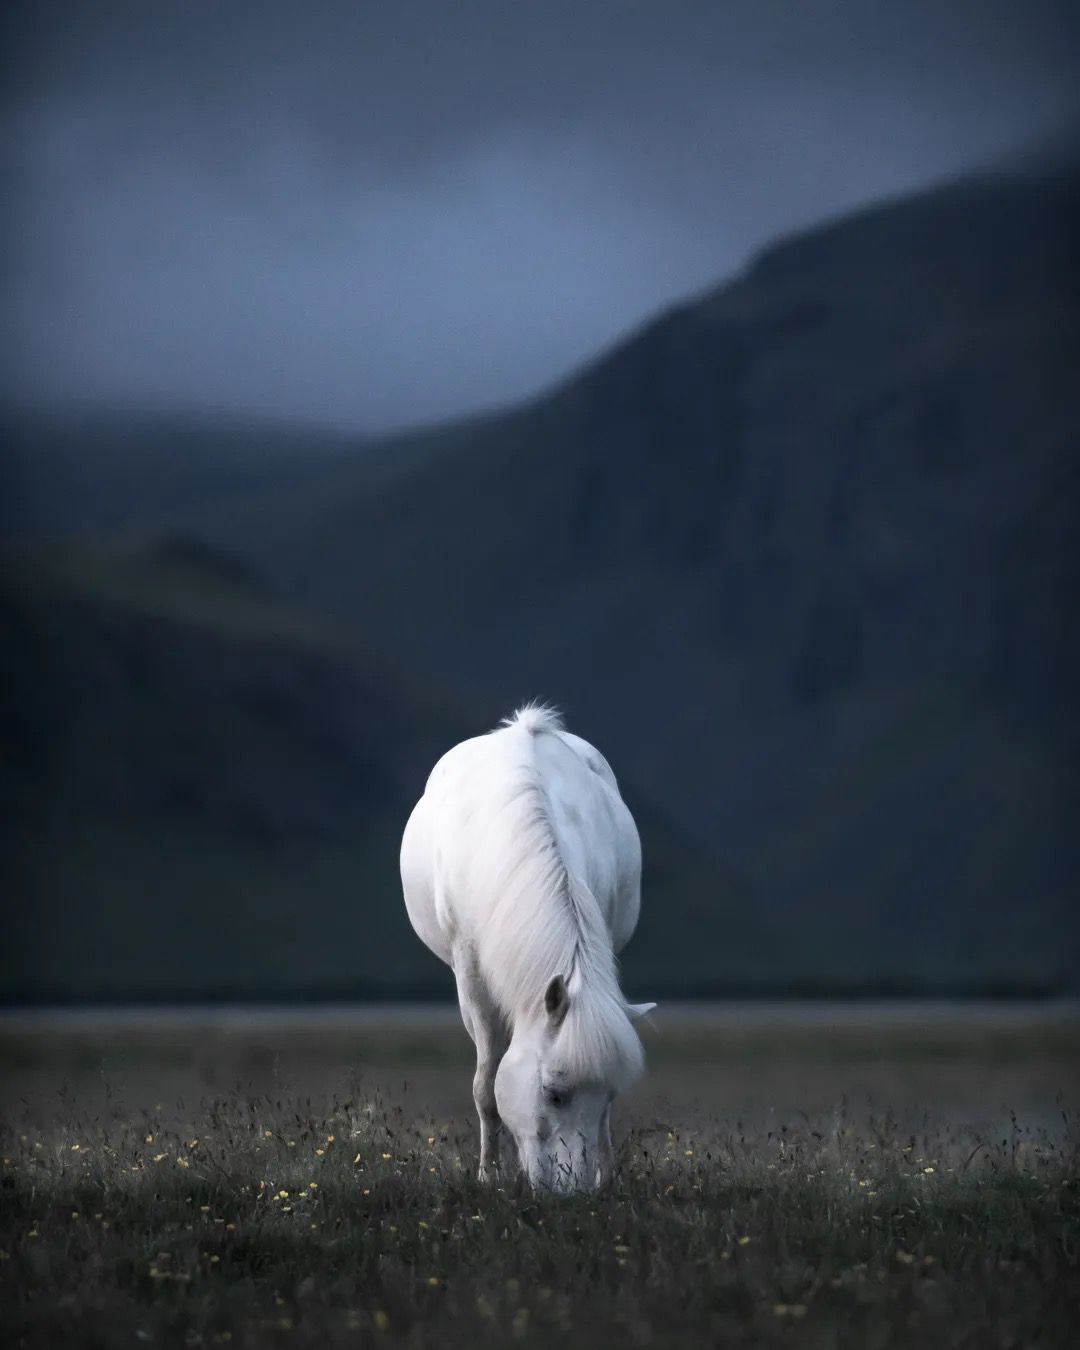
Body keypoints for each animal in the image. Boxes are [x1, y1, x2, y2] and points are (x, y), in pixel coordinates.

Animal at [400, 703, 655, 1192]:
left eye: (608, 1094)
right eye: (554, 1094)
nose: (573, 1193)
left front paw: (608, 1174)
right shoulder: (470, 971)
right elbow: (486, 1083)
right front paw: (488, 1175)